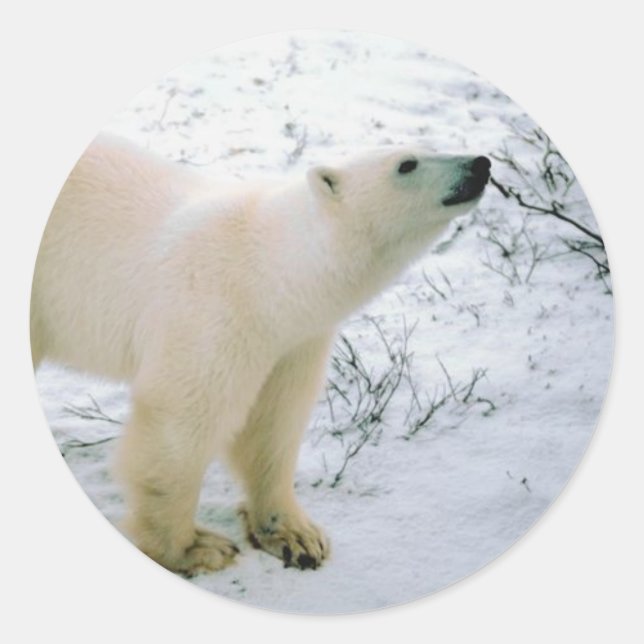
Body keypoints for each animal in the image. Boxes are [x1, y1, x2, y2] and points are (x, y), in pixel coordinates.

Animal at [31, 134, 490, 575]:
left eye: (429, 147)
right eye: (406, 164)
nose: (481, 163)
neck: (267, 270)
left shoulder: (290, 341)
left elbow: (273, 422)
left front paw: (295, 535)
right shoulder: (212, 310)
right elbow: (180, 421)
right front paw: (193, 549)